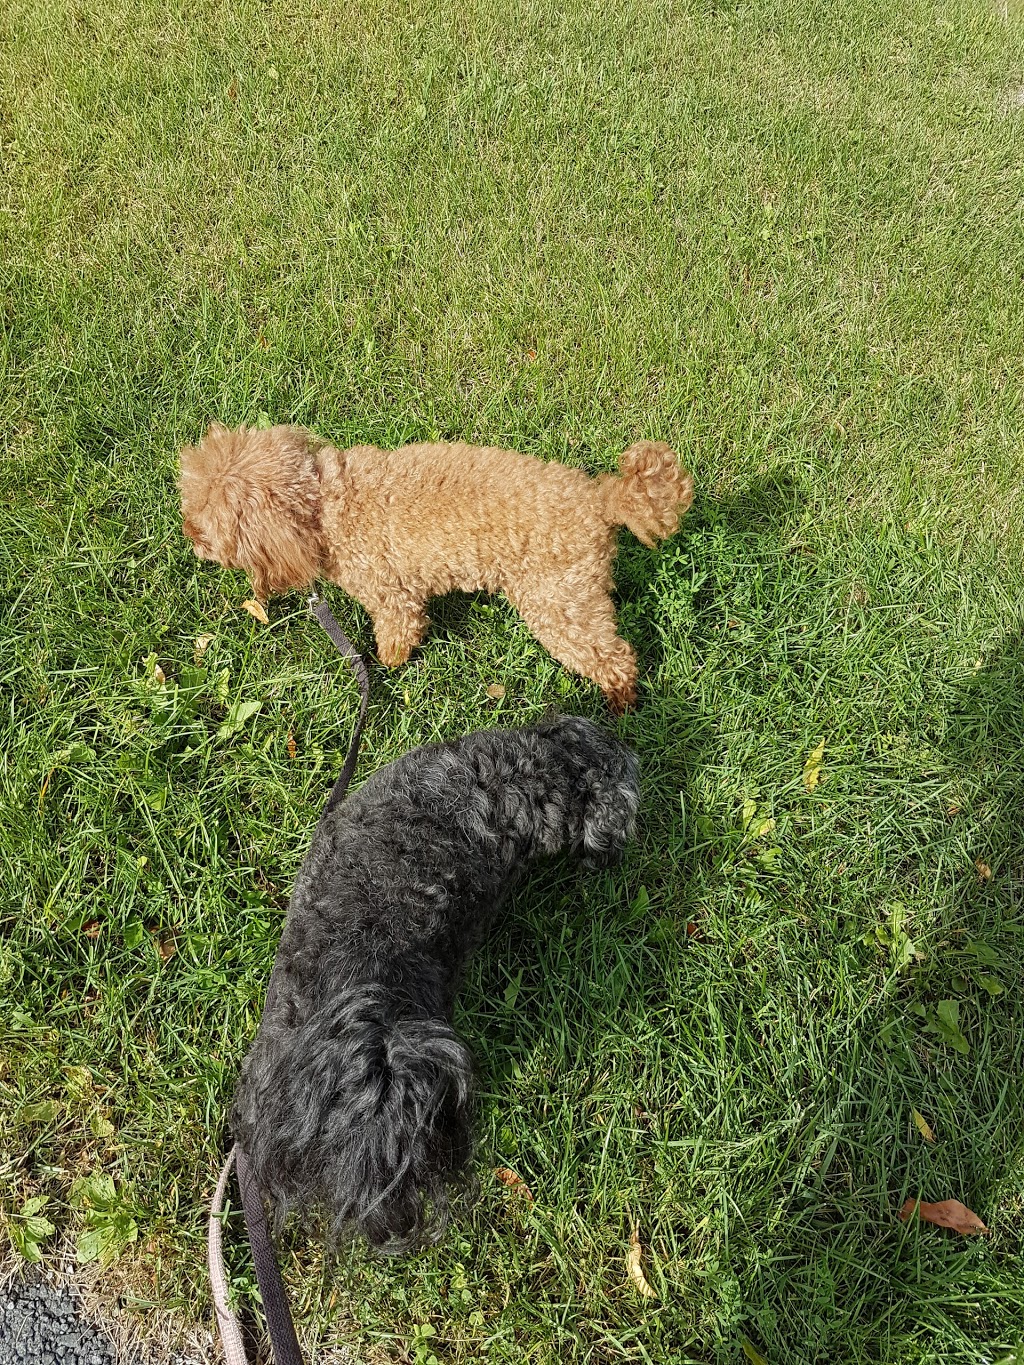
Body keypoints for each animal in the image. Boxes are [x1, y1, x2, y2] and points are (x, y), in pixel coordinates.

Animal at [178, 423, 699, 704]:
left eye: (207, 526)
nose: (188, 536)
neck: (326, 505)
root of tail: (601, 500)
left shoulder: (392, 597)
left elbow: (399, 634)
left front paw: (387, 665)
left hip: (560, 602)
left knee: (615, 657)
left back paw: (620, 705)